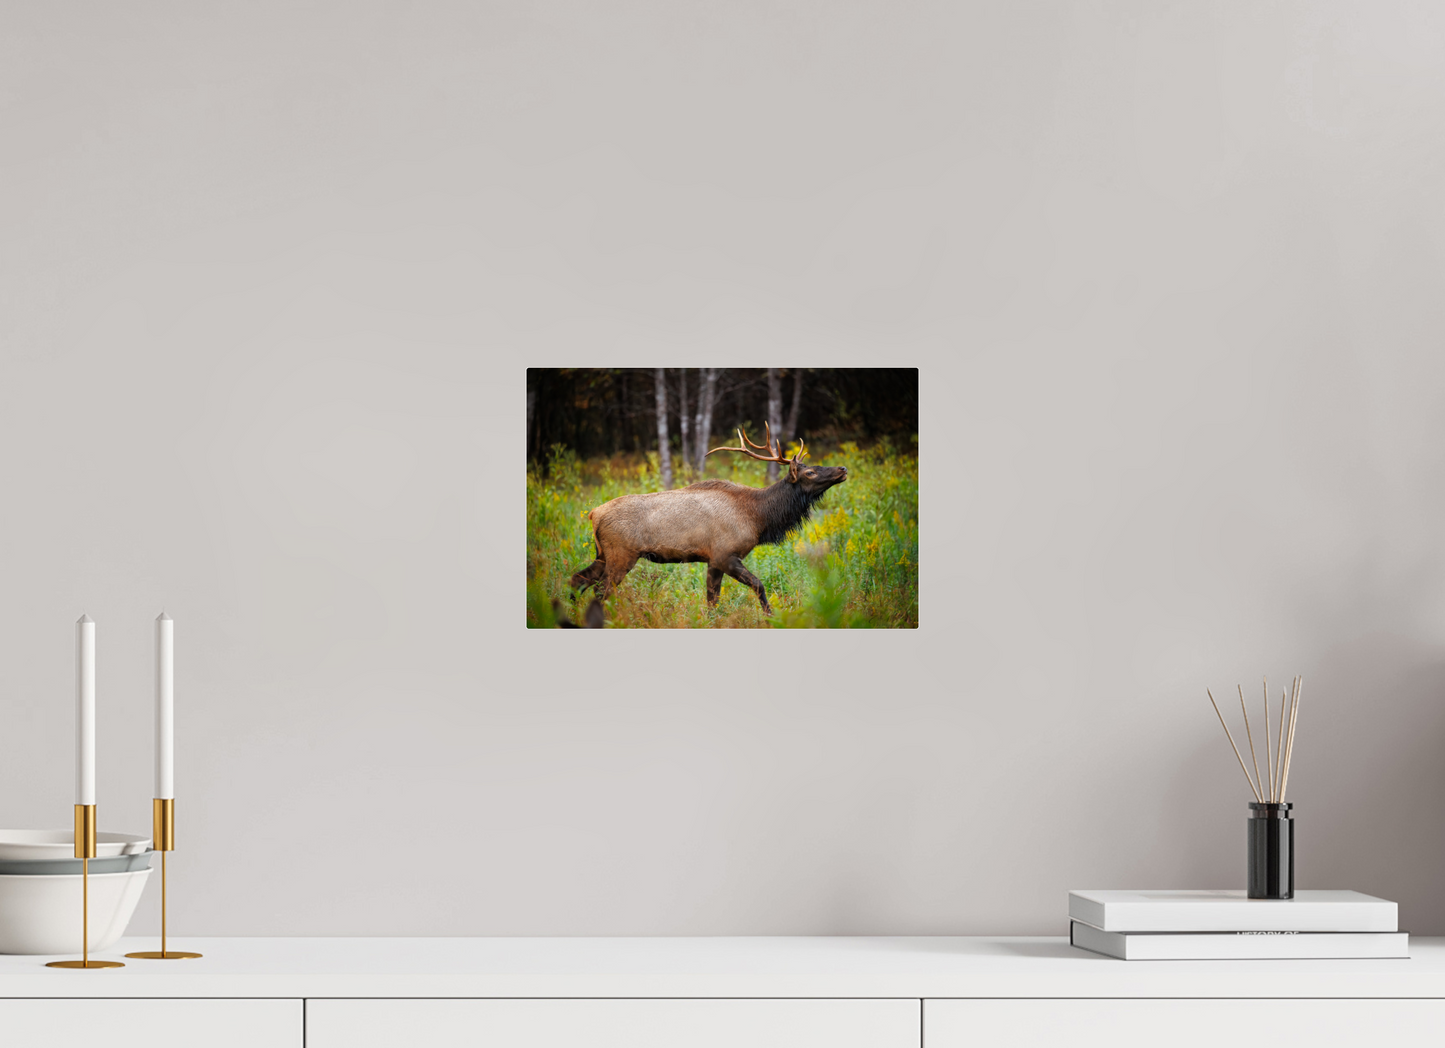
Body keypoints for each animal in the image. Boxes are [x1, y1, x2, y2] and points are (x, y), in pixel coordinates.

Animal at [569, 424, 848, 615]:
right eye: (810, 472)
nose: (843, 468)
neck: (759, 518)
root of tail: (594, 514)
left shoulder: (713, 561)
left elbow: (712, 602)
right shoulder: (725, 555)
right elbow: (758, 585)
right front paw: (771, 617)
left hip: (602, 554)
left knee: (577, 579)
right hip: (621, 555)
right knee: (600, 590)